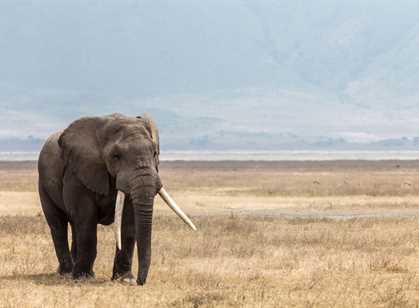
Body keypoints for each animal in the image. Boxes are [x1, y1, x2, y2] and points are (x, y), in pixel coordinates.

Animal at [37, 113, 197, 286]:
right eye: (116, 156)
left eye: (155, 153)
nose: (140, 282)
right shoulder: (78, 173)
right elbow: (86, 219)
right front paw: (83, 278)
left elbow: (128, 221)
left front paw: (125, 280)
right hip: (43, 184)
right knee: (58, 224)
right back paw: (67, 273)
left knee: (74, 225)